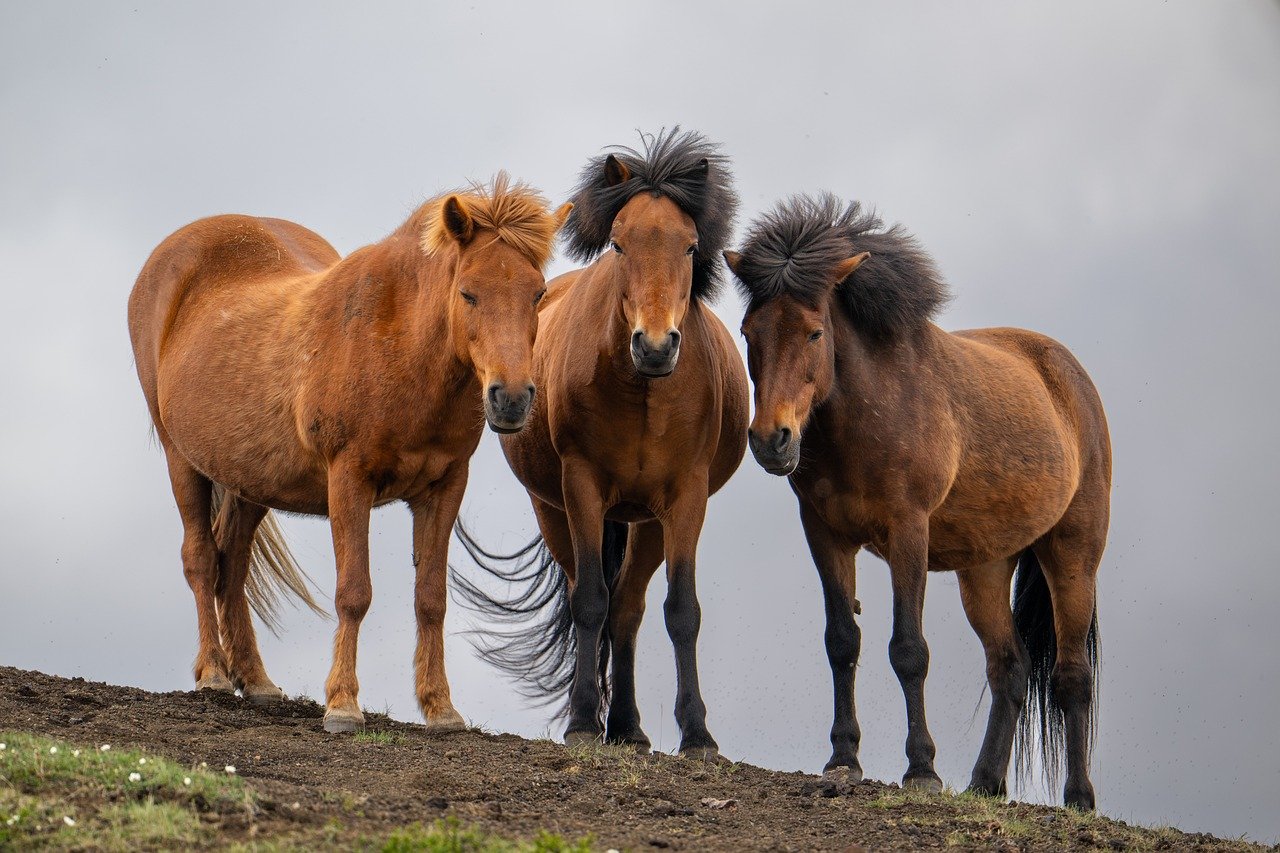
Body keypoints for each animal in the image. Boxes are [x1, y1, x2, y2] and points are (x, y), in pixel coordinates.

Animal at [128, 174, 572, 734]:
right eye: (468, 293)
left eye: (538, 294)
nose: (511, 399)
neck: (399, 344)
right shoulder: (349, 480)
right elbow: (354, 592)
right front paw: (342, 704)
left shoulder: (444, 486)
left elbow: (432, 598)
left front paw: (440, 707)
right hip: (182, 460)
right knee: (202, 559)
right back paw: (212, 673)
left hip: (250, 480)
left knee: (233, 568)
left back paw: (255, 680)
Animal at [455, 129, 748, 759]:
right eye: (618, 243)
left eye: (690, 248)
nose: (655, 346)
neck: (643, 394)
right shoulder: (582, 487)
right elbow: (589, 600)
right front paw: (584, 723)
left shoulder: (686, 499)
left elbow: (681, 611)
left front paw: (697, 734)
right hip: (554, 510)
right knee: (586, 595)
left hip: (645, 522)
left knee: (629, 609)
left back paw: (631, 727)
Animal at [724, 193, 1110, 809]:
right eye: (748, 331)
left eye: (814, 333)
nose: (771, 440)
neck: (871, 408)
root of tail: (1071, 378)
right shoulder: (825, 534)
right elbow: (842, 641)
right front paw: (843, 759)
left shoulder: (907, 531)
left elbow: (909, 650)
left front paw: (921, 768)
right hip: (985, 569)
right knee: (1010, 670)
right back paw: (984, 784)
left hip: (1072, 555)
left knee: (1072, 676)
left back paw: (1078, 798)